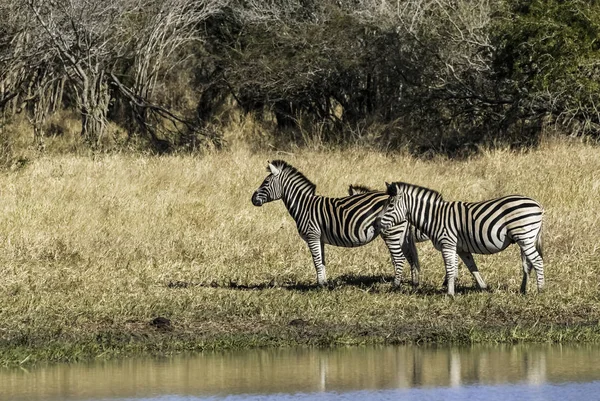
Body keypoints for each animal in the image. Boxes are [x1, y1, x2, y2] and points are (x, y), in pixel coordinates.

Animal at [251, 160, 420, 288]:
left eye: (266, 182)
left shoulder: (312, 235)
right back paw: (414, 284)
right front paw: (324, 283)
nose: (252, 199)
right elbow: (321, 261)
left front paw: (320, 286)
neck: (304, 206)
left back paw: (395, 286)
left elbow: (316, 260)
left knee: (399, 258)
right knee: (411, 257)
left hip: (391, 232)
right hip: (401, 234)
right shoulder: (319, 238)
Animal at [378, 181, 548, 294]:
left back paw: (540, 290)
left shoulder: (447, 244)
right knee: (527, 264)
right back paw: (523, 290)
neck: (435, 217)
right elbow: (471, 267)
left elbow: (450, 268)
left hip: (524, 237)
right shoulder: (460, 248)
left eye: (390, 205)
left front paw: (450, 294)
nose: (377, 222)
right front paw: (483, 288)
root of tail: (538, 205)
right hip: (525, 239)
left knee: (537, 261)